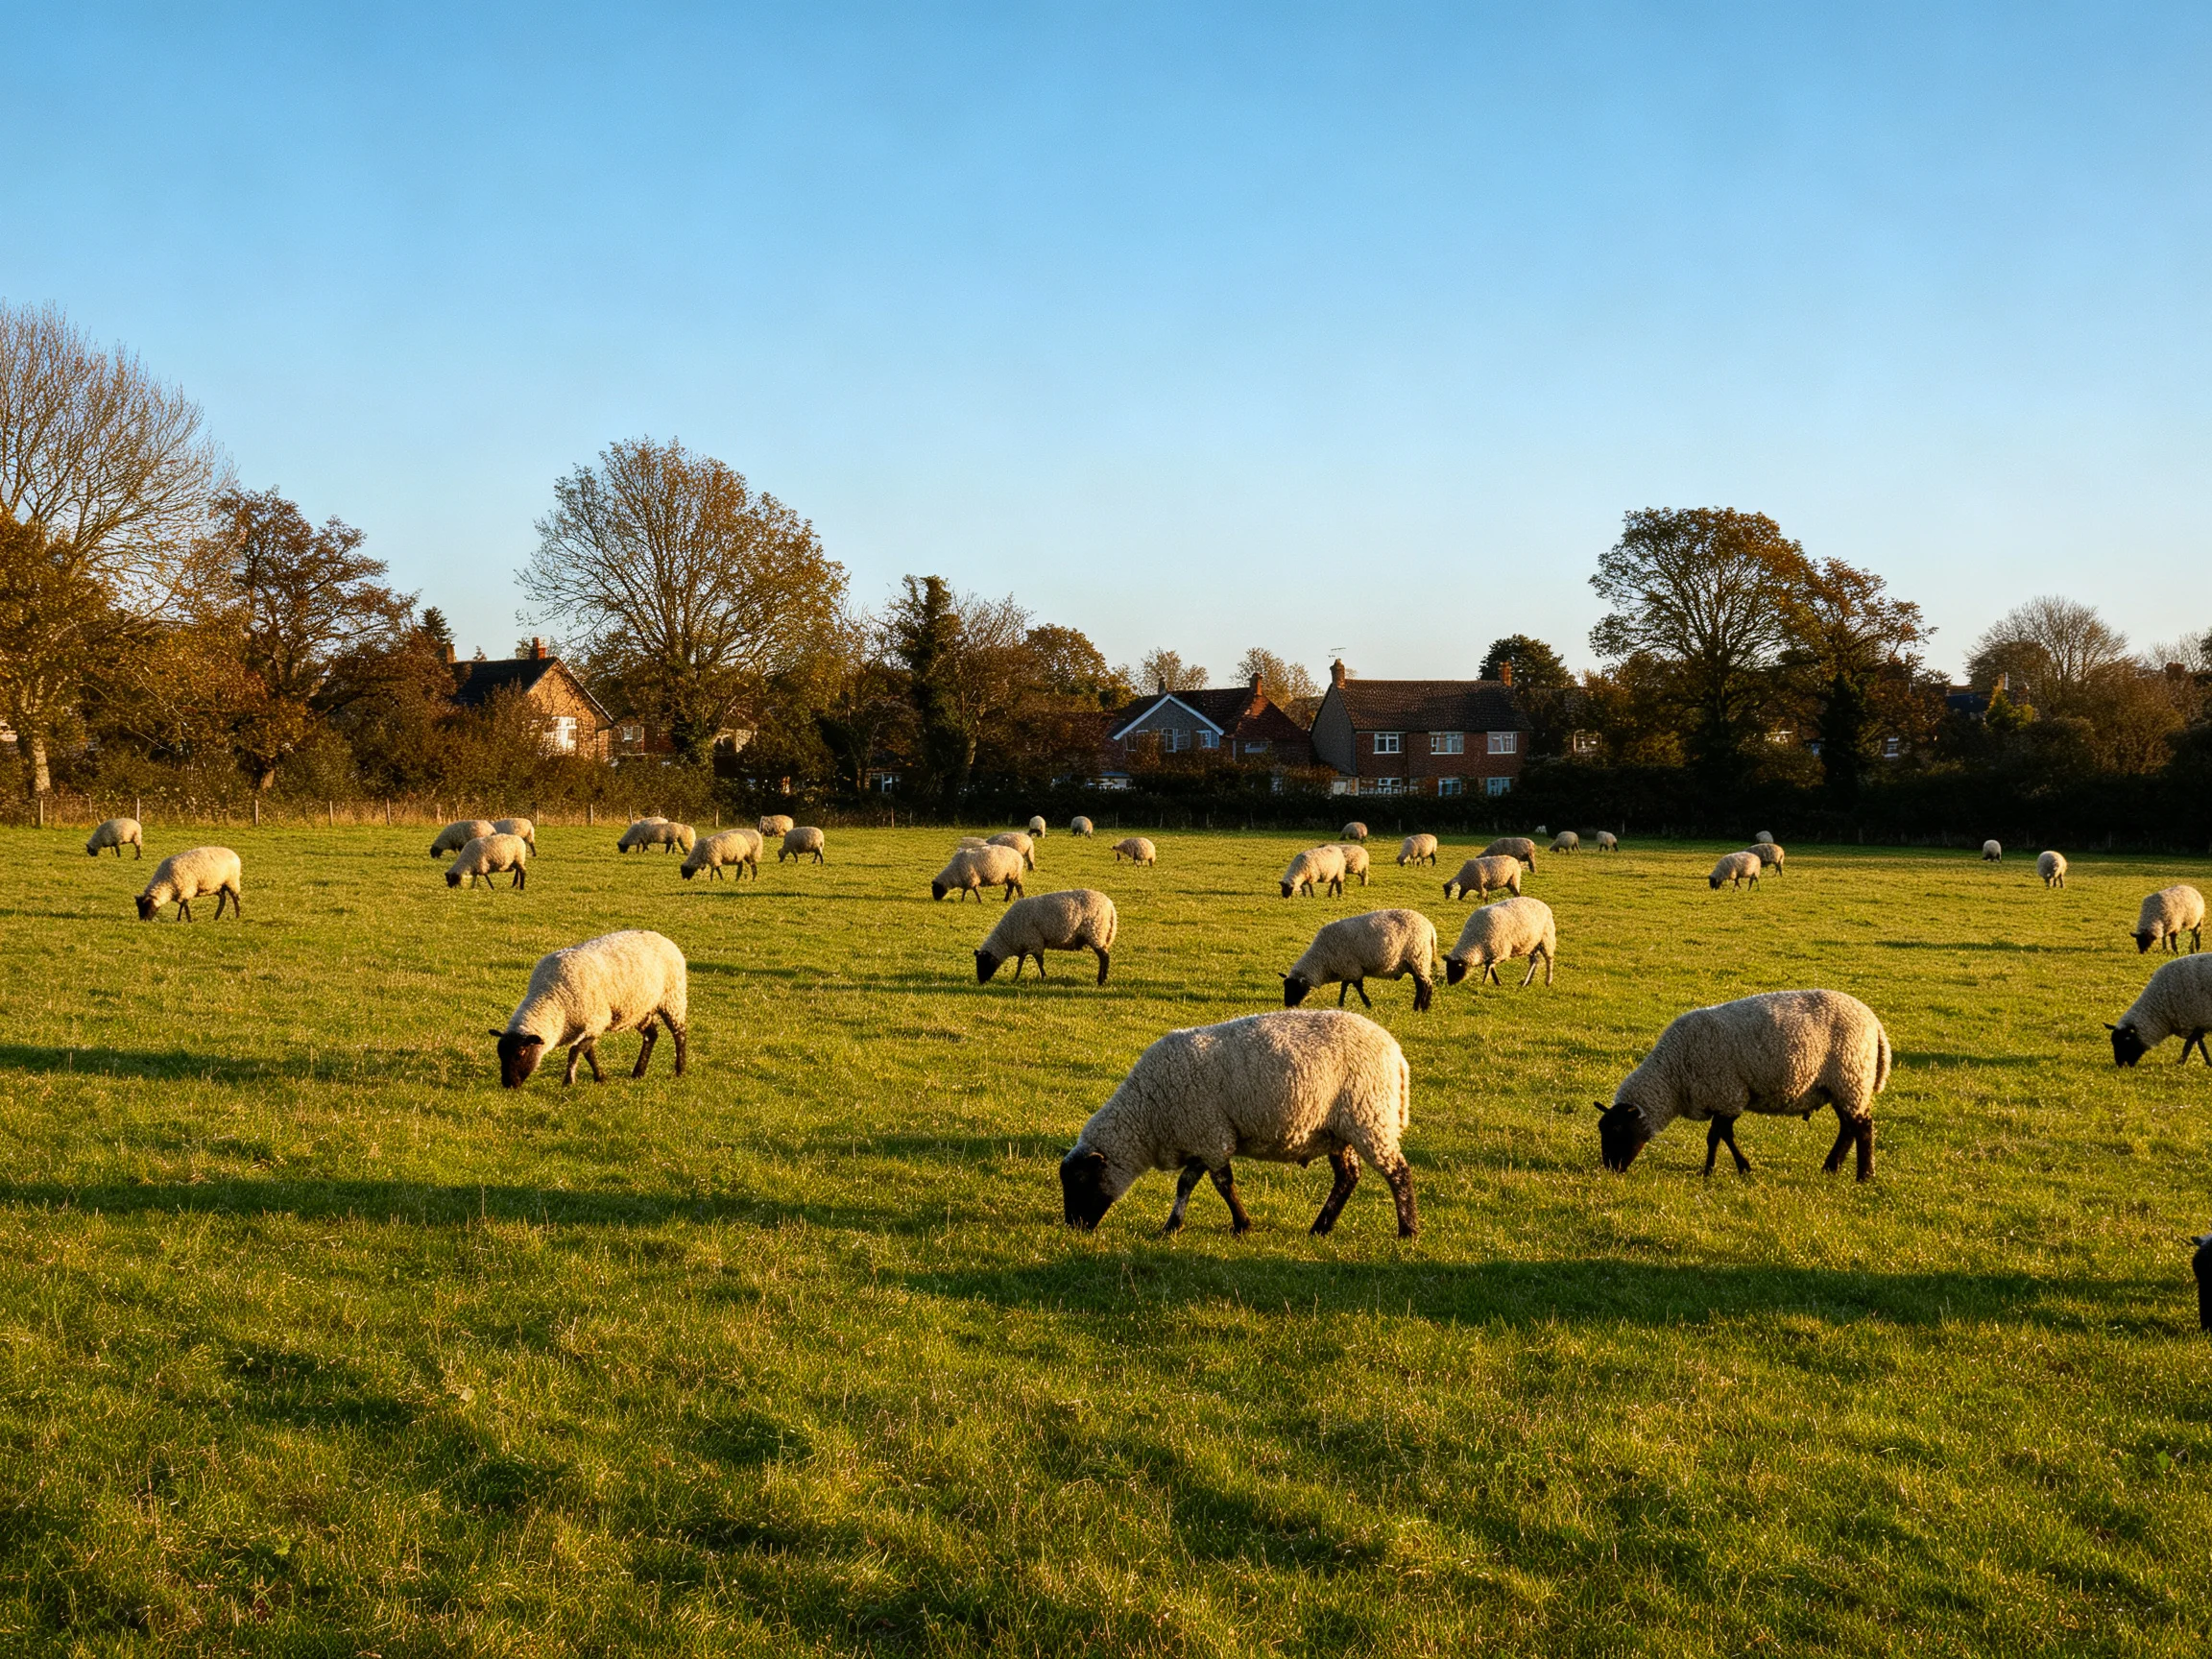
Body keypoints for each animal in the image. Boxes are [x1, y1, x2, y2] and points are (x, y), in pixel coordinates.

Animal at [490, 928, 688, 1088]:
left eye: (521, 1053)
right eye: (500, 1054)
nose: (508, 1084)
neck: (553, 998)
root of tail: (661, 937)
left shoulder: (596, 1020)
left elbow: (576, 1050)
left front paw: (569, 1081)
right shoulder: (589, 1025)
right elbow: (587, 1052)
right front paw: (600, 1077)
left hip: (673, 998)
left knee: (680, 1034)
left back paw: (680, 1070)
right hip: (640, 1008)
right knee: (651, 1035)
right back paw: (638, 1072)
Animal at [975, 889, 1118, 984]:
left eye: (982, 963)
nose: (981, 982)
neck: (1007, 937)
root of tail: (1110, 906)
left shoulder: (1035, 942)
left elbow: (1038, 961)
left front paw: (1043, 977)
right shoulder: (1026, 945)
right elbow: (1020, 963)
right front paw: (1015, 978)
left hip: (1096, 933)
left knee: (1104, 957)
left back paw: (1101, 980)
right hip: (1098, 935)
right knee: (1103, 957)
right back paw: (1101, 979)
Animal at [1059, 1008, 1417, 1238]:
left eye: (1080, 1181)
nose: (1073, 1227)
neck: (1149, 1112)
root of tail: (1396, 1054)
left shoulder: (1212, 1137)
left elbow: (1223, 1185)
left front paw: (1242, 1225)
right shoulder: (1203, 1137)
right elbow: (1186, 1183)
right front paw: (1171, 1226)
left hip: (1369, 1118)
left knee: (1397, 1172)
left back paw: (1407, 1230)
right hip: (1340, 1130)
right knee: (1347, 1177)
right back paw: (1320, 1228)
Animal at [1281, 909, 1437, 1012]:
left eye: (1294, 988)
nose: (1288, 1006)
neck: (1322, 959)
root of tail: (1430, 927)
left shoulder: (1352, 968)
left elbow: (1356, 987)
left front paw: (1367, 1004)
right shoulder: (1349, 969)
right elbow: (1345, 986)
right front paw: (1341, 1003)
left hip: (1418, 957)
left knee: (1425, 984)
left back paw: (1421, 1008)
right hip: (1415, 962)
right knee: (1421, 984)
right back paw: (1419, 1007)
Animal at [1596, 989, 1891, 1181]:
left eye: (1618, 1129)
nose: (1610, 1168)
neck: (1674, 1074)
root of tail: (1875, 1023)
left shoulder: (1728, 1095)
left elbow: (1718, 1136)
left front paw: (1720, 1170)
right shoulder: (1724, 1098)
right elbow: (1721, 1136)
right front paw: (1726, 1168)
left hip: (1850, 1077)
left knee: (1862, 1127)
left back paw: (1864, 1175)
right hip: (1841, 1085)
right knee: (1848, 1127)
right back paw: (1831, 1167)